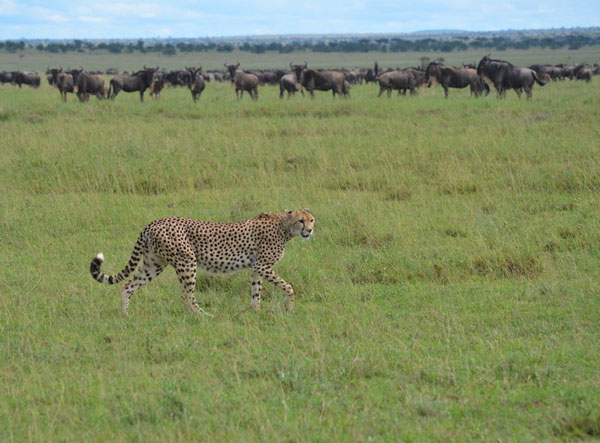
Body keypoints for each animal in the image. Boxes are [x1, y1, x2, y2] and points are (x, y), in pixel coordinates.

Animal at [90, 209, 314, 316]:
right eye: (301, 221)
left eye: (312, 219)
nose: (310, 230)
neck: (284, 226)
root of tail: (153, 222)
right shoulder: (262, 265)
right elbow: (289, 286)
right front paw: (289, 307)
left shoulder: (256, 268)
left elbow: (256, 291)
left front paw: (256, 312)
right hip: (187, 262)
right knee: (186, 296)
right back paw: (204, 316)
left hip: (154, 264)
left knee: (128, 286)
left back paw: (125, 315)